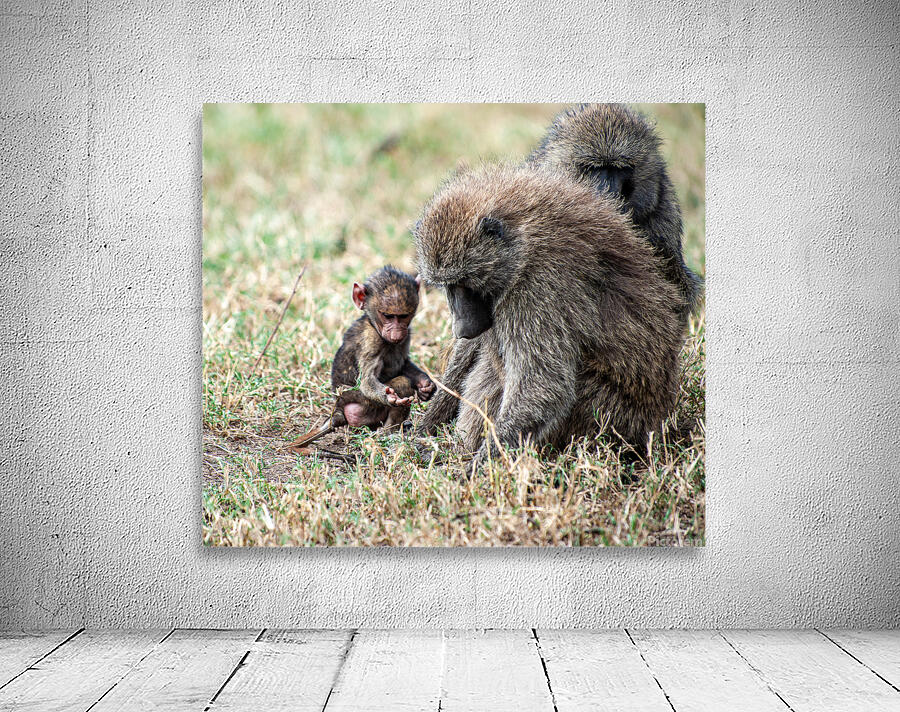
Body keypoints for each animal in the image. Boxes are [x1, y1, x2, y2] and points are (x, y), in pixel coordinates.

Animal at [286, 266, 435, 450]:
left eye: (403, 316)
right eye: (388, 316)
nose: (396, 334)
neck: (373, 324)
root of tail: (338, 410)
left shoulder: (406, 336)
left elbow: (403, 363)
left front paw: (425, 385)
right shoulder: (370, 340)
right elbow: (367, 381)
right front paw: (390, 397)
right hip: (362, 406)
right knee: (402, 384)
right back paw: (388, 435)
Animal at [414, 164, 685, 465]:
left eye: (466, 284)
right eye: (449, 287)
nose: (461, 327)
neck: (524, 238)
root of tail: (655, 421)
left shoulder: (538, 285)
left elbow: (544, 386)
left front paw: (475, 469)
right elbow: (473, 348)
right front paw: (428, 424)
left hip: (604, 416)